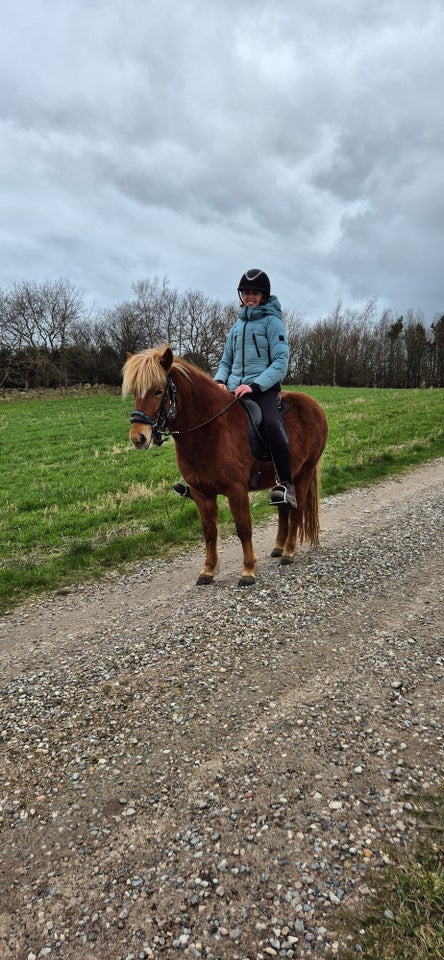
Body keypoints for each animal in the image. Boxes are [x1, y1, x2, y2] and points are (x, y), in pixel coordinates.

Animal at [123, 344, 328, 584]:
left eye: (158, 391)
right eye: (135, 392)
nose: (138, 438)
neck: (210, 430)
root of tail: (315, 406)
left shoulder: (236, 490)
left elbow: (243, 528)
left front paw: (248, 570)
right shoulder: (201, 493)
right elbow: (209, 532)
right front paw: (208, 570)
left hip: (303, 473)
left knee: (296, 510)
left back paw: (288, 551)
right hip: (284, 480)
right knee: (283, 507)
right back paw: (279, 547)